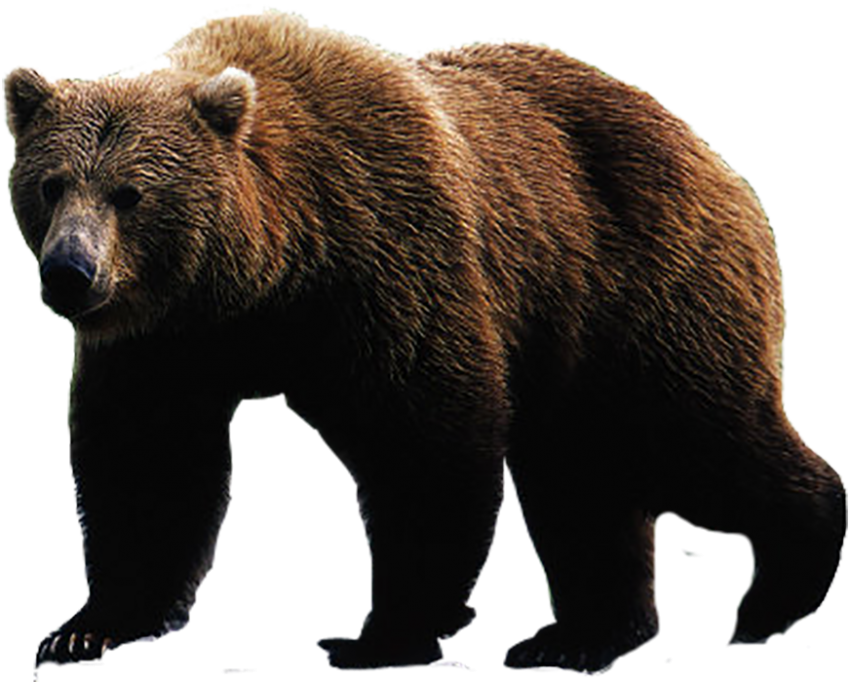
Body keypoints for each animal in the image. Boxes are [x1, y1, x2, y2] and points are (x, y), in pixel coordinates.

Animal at [2, 9, 846, 677]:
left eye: (131, 193)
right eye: (51, 183)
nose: (70, 272)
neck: (266, 277)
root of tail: (720, 163)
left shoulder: (387, 260)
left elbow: (425, 443)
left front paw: (381, 634)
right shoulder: (168, 341)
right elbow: (147, 466)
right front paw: (85, 629)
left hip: (638, 290)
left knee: (686, 439)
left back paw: (774, 595)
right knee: (582, 479)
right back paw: (578, 635)